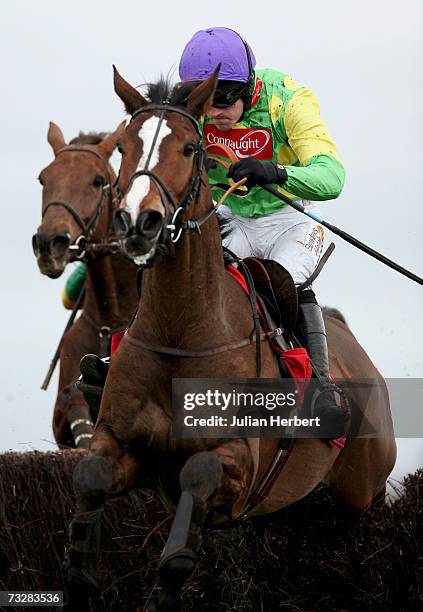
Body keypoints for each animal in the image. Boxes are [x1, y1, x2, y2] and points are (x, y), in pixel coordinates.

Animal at [63, 69, 398, 608]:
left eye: (189, 148)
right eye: (123, 149)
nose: (140, 222)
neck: (181, 330)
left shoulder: (237, 466)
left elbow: (193, 494)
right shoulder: (119, 440)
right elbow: (90, 479)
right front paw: (82, 575)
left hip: (363, 490)